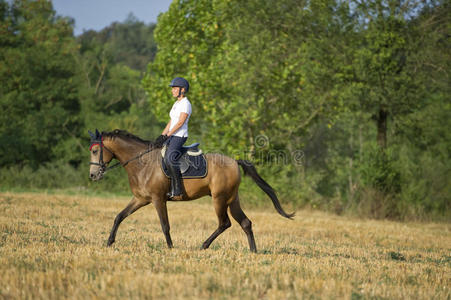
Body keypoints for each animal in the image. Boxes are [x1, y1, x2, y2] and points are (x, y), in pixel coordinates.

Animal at [88, 129, 294, 253]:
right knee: (245, 223)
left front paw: (170, 247)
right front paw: (109, 242)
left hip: (219, 199)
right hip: (232, 199)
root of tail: (235, 162)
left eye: (95, 150)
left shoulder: (157, 199)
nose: (93, 175)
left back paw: (204, 245)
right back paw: (253, 251)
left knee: (225, 223)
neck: (141, 163)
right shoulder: (140, 199)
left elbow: (165, 225)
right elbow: (119, 217)